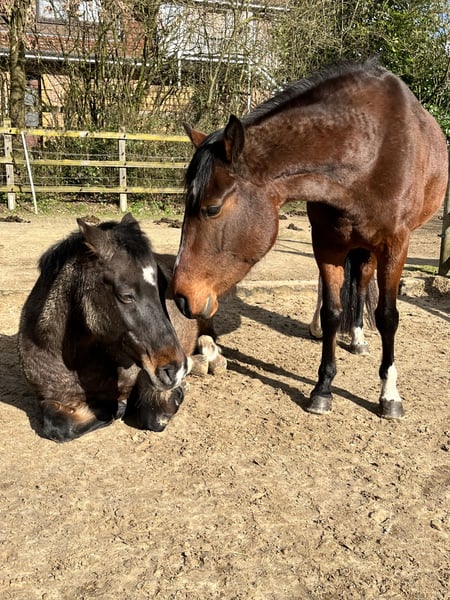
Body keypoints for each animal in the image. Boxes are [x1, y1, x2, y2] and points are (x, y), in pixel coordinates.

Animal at [18, 213, 225, 441]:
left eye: (163, 289)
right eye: (126, 296)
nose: (174, 370)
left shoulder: (145, 373)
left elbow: (154, 415)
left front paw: (177, 391)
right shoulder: (47, 399)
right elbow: (59, 426)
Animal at [172, 60, 448, 419]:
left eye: (212, 208)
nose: (179, 296)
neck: (368, 151)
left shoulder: (395, 246)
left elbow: (388, 317)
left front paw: (389, 395)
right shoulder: (326, 243)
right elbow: (333, 311)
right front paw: (323, 388)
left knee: (362, 283)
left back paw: (358, 337)